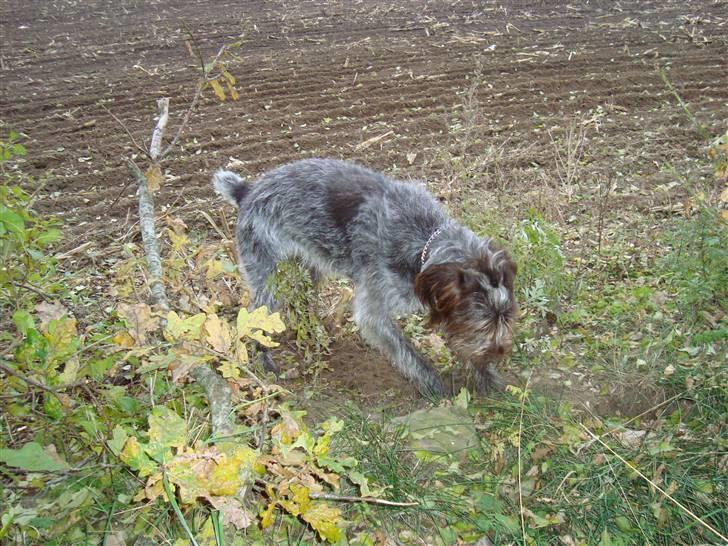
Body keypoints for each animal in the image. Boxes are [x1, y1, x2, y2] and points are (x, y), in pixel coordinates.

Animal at [212, 157, 516, 396]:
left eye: (504, 317)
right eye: (482, 322)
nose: (500, 351)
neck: (422, 240)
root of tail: (247, 190)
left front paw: (486, 376)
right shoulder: (374, 313)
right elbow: (408, 353)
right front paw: (434, 385)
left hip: (310, 268)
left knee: (301, 306)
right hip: (266, 280)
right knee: (258, 316)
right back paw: (266, 360)